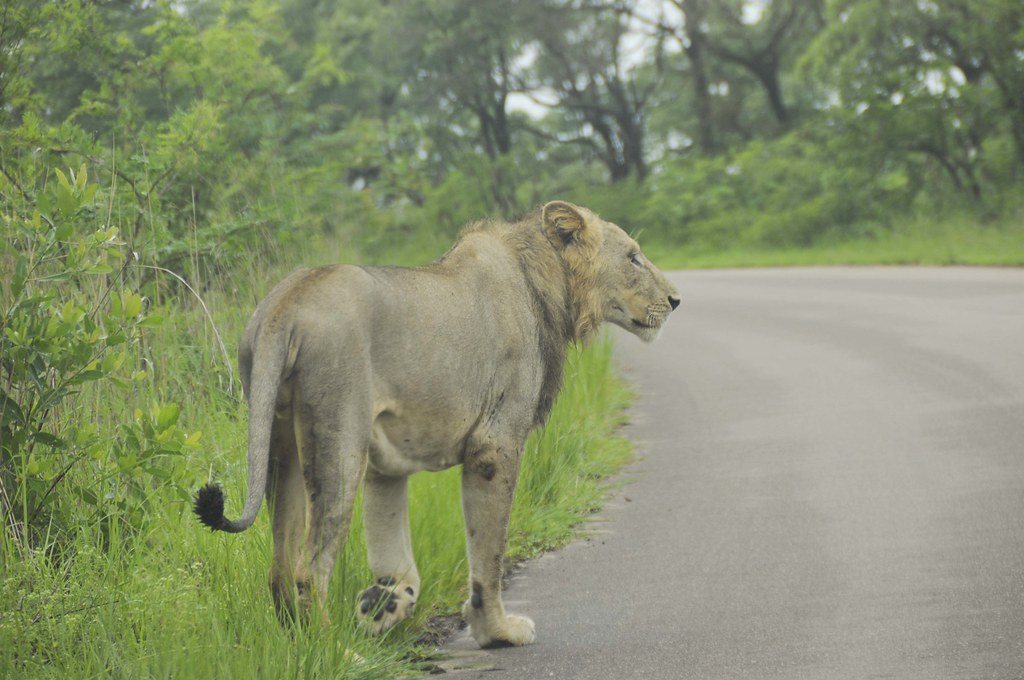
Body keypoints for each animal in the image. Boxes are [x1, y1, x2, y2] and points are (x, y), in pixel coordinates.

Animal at [193, 201, 679, 648]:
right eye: (633, 257)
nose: (676, 300)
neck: (545, 281)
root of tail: (284, 304)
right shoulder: (495, 445)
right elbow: (490, 553)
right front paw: (497, 631)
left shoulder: (386, 465)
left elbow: (395, 556)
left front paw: (384, 605)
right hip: (339, 443)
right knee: (308, 570)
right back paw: (336, 652)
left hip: (282, 446)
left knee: (279, 567)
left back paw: (305, 642)